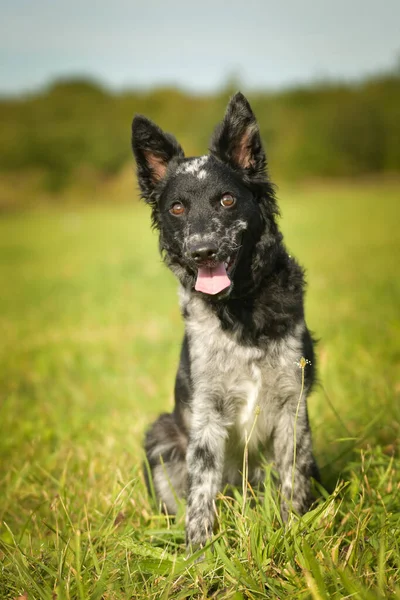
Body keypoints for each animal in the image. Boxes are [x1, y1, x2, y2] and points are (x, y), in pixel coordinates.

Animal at [131, 92, 318, 548]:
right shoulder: (206, 415)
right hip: (161, 435)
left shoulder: (293, 407)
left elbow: (293, 482)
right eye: (177, 207)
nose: (203, 251)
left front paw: (292, 535)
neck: (240, 310)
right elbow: (201, 496)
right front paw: (199, 553)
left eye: (227, 200)